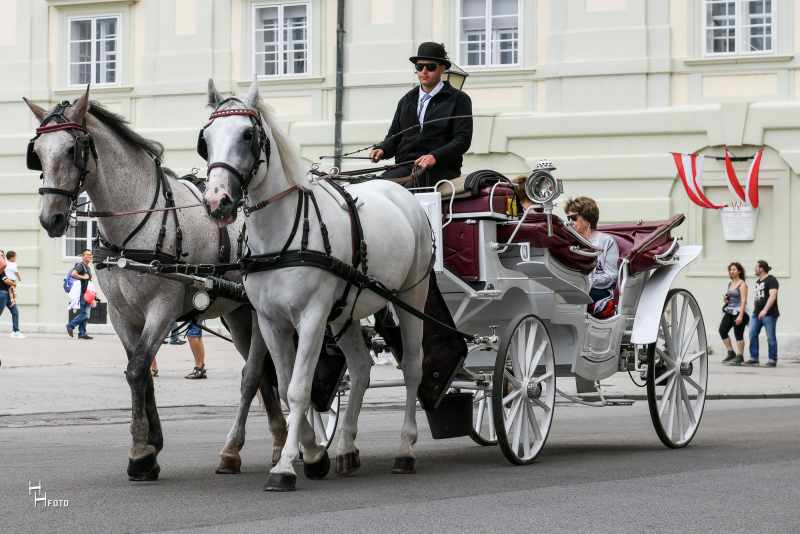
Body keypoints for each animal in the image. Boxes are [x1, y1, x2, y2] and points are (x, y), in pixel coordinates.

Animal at [25, 90, 288, 484]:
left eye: (73, 149)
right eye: (38, 152)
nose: (51, 218)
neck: (136, 223)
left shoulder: (161, 309)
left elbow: (137, 370)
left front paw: (140, 453)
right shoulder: (122, 314)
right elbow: (142, 372)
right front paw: (152, 447)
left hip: (260, 312)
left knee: (254, 373)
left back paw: (263, 446)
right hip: (238, 314)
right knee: (262, 378)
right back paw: (268, 442)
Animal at [203, 80, 434, 494]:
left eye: (247, 135)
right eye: (206, 138)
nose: (217, 201)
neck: (282, 234)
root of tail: (402, 193)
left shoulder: (311, 317)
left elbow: (299, 389)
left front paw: (285, 467)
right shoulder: (270, 321)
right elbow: (284, 385)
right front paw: (312, 453)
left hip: (411, 296)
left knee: (412, 367)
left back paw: (405, 449)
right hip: (346, 313)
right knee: (360, 369)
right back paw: (345, 449)